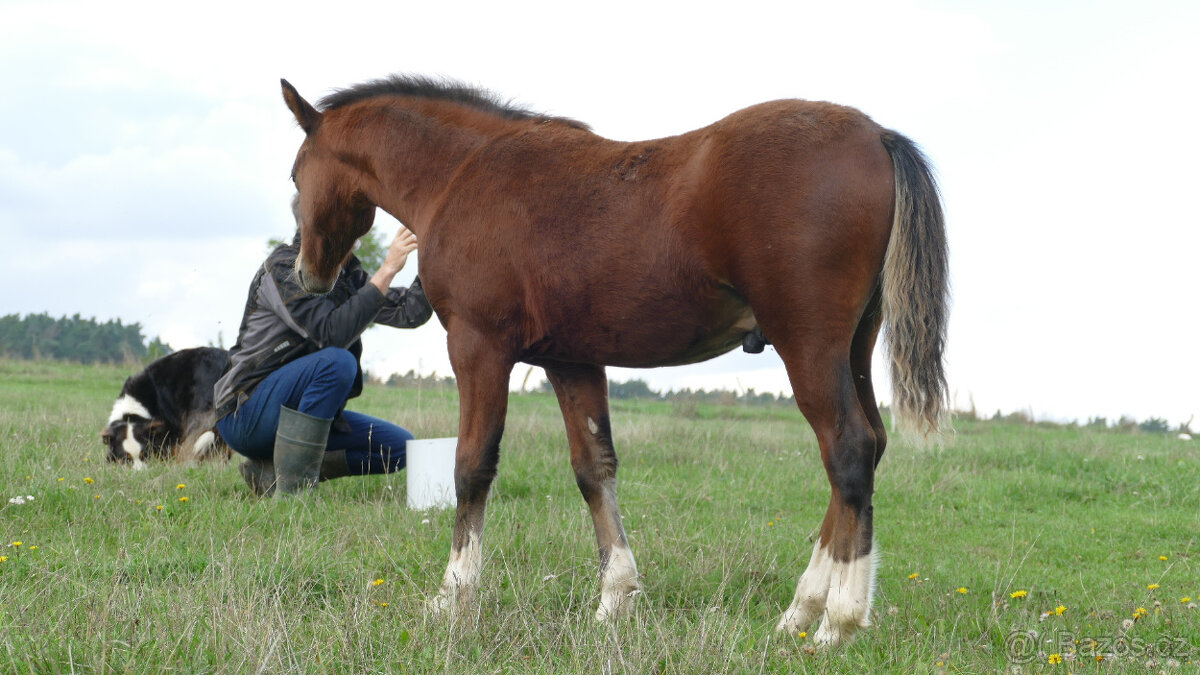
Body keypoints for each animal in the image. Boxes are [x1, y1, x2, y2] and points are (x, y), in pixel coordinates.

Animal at [279, 74, 948, 646]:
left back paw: (837, 620)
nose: (306, 275)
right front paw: (615, 598)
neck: (463, 174)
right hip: (852, 346)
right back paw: (801, 612)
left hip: (807, 342)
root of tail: (874, 134)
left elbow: (472, 466)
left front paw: (452, 598)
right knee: (867, 448)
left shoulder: (478, 346)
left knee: (848, 449)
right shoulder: (572, 360)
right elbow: (594, 469)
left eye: (294, 175)